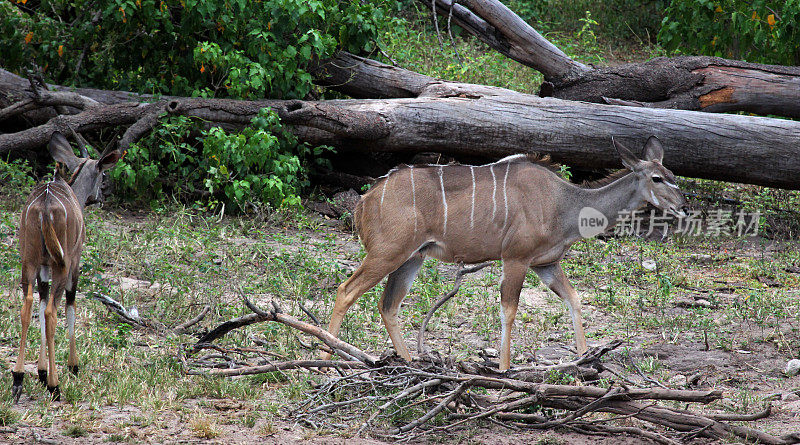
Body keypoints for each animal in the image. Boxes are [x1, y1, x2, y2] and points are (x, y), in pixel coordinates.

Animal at [12, 131, 122, 398]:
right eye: (103, 175)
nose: (103, 197)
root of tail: (44, 206)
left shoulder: (43, 267)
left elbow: (41, 301)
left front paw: (41, 372)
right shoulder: (74, 262)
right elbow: (70, 304)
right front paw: (72, 367)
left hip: (28, 261)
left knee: (28, 305)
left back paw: (18, 378)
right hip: (62, 265)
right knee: (53, 311)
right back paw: (56, 386)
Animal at [324, 137, 688, 370]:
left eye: (674, 176)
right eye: (657, 178)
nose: (683, 207)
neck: (564, 203)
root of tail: (365, 200)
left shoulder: (546, 264)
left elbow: (574, 299)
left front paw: (584, 358)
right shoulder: (516, 259)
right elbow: (508, 310)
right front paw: (503, 368)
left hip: (413, 257)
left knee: (389, 305)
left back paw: (410, 362)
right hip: (388, 253)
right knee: (346, 291)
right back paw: (327, 360)